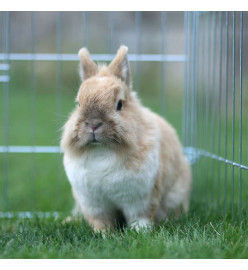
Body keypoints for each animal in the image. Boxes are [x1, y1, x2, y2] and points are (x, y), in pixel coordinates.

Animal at [60, 45, 192, 233]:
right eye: (78, 104)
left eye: (119, 104)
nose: (93, 124)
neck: (102, 150)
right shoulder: (93, 203)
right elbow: (100, 221)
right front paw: (103, 234)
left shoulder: (142, 199)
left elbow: (141, 219)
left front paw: (140, 233)